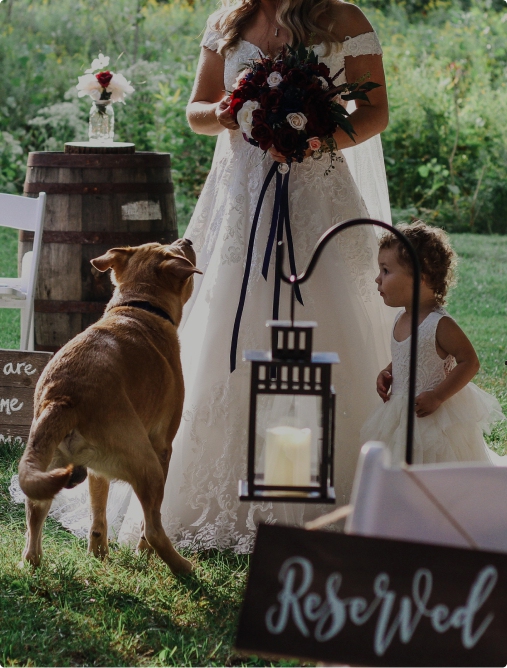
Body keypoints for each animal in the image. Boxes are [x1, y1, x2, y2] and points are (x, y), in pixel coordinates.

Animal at [18, 239, 200, 576]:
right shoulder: (163, 446)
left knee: (34, 524)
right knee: (152, 529)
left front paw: (98, 553)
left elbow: (98, 512)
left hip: (45, 467)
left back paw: (38, 563)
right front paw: (139, 553)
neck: (138, 306)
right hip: (148, 465)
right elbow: (143, 524)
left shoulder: (95, 470)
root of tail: (63, 397)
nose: (186, 241)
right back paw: (181, 566)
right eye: (172, 250)